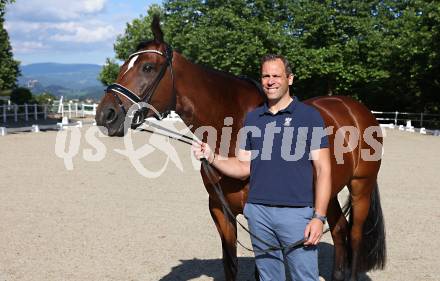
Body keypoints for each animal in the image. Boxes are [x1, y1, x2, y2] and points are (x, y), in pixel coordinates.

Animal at [96, 15, 384, 280]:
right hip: (328, 191)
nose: (105, 114)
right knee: (339, 230)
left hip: (360, 186)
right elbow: (230, 264)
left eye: (147, 67)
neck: (236, 127)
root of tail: (355, 108)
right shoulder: (220, 210)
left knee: (354, 235)